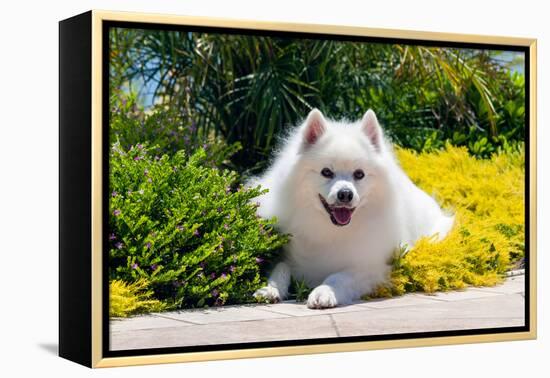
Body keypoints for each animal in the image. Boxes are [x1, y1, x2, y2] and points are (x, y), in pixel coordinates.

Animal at [252, 108, 454, 308]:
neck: (331, 230)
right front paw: (270, 289)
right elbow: (280, 268)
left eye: (359, 174)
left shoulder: (371, 267)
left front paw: (324, 292)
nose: (345, 194)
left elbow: (339, 277)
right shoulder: (287, 255)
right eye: (326, 172)